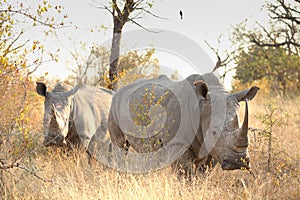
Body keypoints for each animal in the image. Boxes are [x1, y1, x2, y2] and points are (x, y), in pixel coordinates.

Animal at [108, 73, 260, 175]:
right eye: (214, 132)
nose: (238, 162)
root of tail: (120, 89)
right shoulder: (178, 143)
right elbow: (185, 173)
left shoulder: (216, 149)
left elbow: (203, 174)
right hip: (114, 103)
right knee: (121, 146)